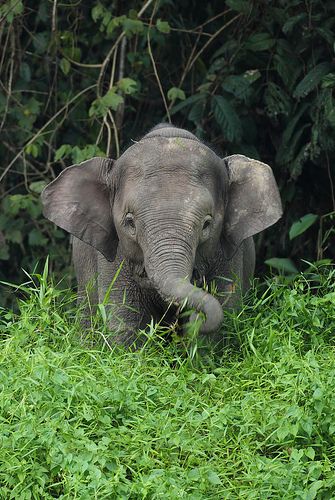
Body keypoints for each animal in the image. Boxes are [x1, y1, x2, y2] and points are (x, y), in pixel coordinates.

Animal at [42, 123, 284, 346]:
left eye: (207, 224)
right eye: (130, 222)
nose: (193, 316)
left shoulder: (229, 254)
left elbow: (221, 324)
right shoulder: (114, 257)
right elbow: (125, 323)